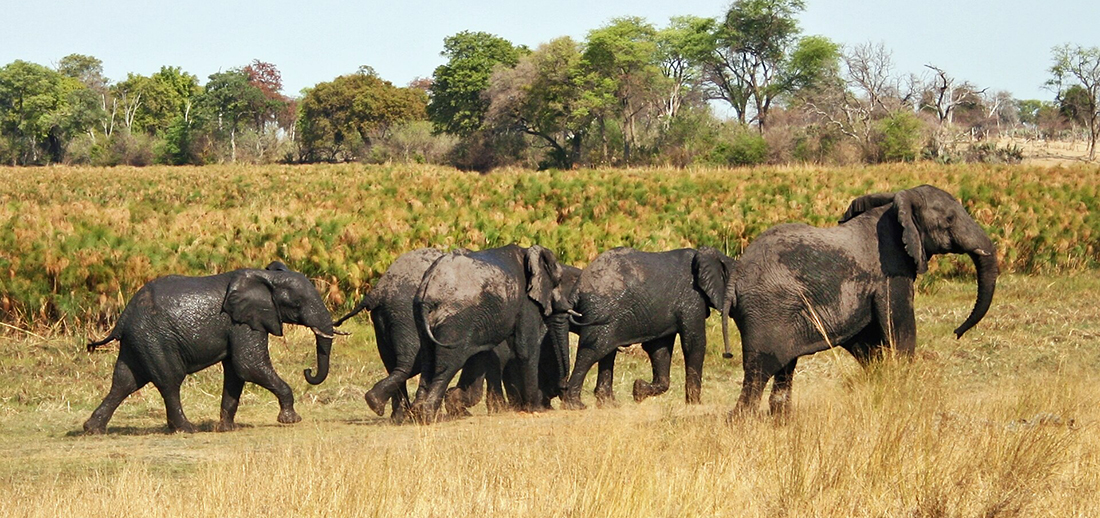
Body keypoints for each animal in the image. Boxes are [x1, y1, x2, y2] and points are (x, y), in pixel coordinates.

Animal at [85, 261, 336, 435]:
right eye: (297, 304)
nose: (308, 371)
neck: (268, 277)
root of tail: (123, 318)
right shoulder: (243, 323)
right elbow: (249, 365)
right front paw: (291, 419)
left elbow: (236, 373)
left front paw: (226, 428)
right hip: (156, 338)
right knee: (169, 381)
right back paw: (187, 429)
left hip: (138, 341)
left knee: (124, 381)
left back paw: (93, 429)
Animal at [330, 247, 442, 422]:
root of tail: (377, 291)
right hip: (406, 316)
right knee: (408, 363)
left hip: (384, 317)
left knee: (392, 362)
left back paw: (392, 413)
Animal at [409, 244, 572, 422]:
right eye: (558, 281)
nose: (563, 387)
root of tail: (429, 286)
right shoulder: (526, 301)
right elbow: (526, 349)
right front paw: (536, 409)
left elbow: (483, 354)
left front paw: (457, 398)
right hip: (455, 320)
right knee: (447, 365)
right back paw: (430, 417)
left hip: (423, 315)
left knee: (428, 359)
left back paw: (418, 414)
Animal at [717, 184, 1003, 415]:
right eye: (949, 219)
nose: (956, 332)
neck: (895, 205)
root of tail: (736, 273)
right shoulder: (891, 273)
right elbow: (900, 329)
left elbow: (866, 342)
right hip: (767, 309)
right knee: (760, 371)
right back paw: (743, 421)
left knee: (783, 369)